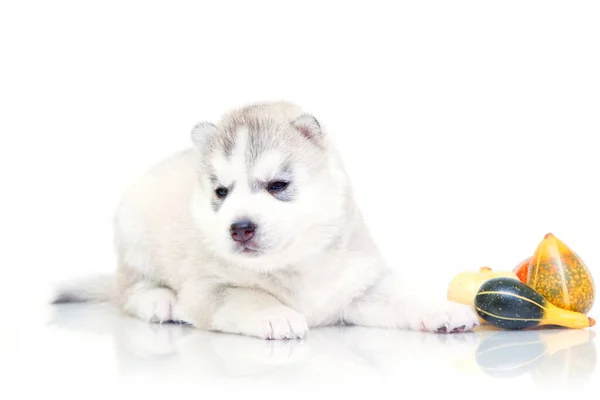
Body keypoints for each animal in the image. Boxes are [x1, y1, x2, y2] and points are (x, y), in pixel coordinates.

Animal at [55, 101, 478, 340]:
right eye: (221, 192)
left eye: (278, 185)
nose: (240, 228)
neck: (296, 264)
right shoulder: (210, 288)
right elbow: (247, 296)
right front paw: (277, 316)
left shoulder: (358, 285)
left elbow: (402, 296)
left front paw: (444, 311)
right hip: (134, 232)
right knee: (130, 290)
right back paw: (160, 301)